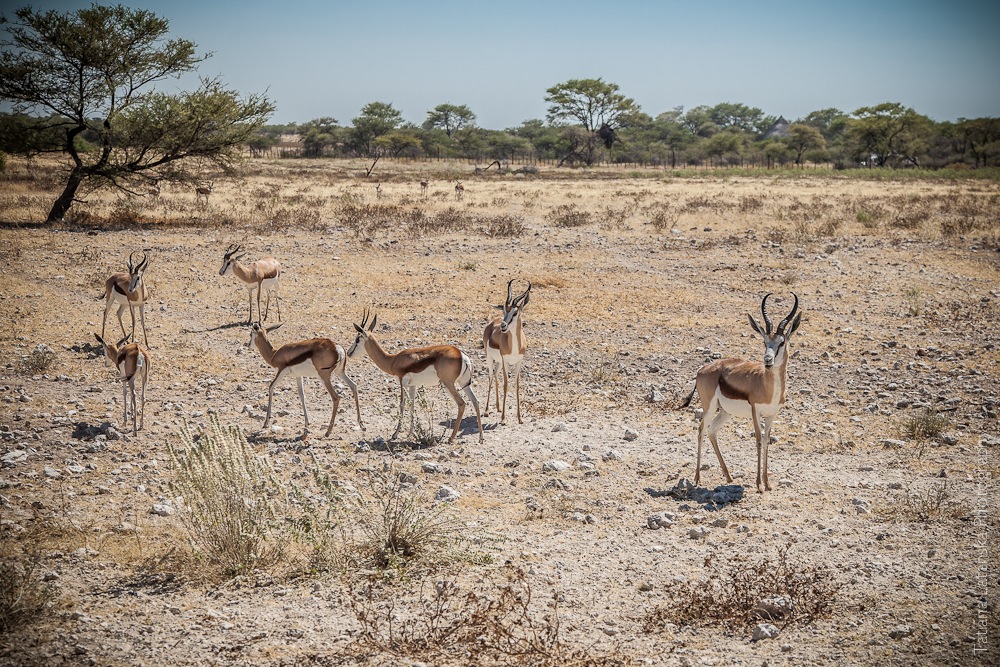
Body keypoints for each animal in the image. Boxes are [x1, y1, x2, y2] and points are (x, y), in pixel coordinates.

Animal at [346, 310, 482, 446]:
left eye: (357, 339)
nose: (348, 353)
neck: (393, 360)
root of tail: (462, 355)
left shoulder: (403, 381)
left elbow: (402, 404)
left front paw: (395, 434)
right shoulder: (413, 385)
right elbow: (412, 405)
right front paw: (411, 433)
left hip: (448, 384)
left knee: (462, 403)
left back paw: (451, 437)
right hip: (464, 383)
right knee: (475, 401)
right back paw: (481, 437)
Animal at [484, 280, 532, 426]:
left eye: (515, 313)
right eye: (505, 310)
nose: (503, 326)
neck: (514, 347)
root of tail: (493, 321)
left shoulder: (518, 362)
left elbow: (516, 386)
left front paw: (520, 418)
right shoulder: (506, 361)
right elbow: (506, 385)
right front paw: (504, 419)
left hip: (499, 362)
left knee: (495, 375)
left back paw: (498, 407)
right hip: (489, 359)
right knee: (490, 377)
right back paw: (486, 410)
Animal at [676, 294, 800, 494]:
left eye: (781, 342)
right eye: (764, 341)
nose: (767, 360)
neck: (767, 386)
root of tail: (702, 369)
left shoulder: (772, 415)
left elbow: (767, 441)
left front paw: (768, 483)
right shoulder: (756, 412)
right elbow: (758, 440)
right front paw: (759, 485)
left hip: (725, 412)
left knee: (712, 430)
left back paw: (728, 476)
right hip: (709, 407)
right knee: (701, 429)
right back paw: (697, 478)